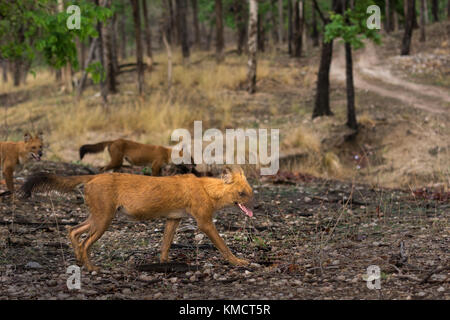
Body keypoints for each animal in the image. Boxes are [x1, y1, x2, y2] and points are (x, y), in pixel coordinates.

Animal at [22, 166, 253, 272]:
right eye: (242, 194)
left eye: (250, 192)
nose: (253, 206)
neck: (208, 190)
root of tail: (94, 175)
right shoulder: (204, 223)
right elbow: (223, 246)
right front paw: (238, 261)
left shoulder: (173, 219)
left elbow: (165, 245)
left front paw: (165, 264)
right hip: (104, 219)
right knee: (85, 241)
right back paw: (91, 268)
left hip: (97, 217)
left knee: (73, 231)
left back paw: (79, 261)